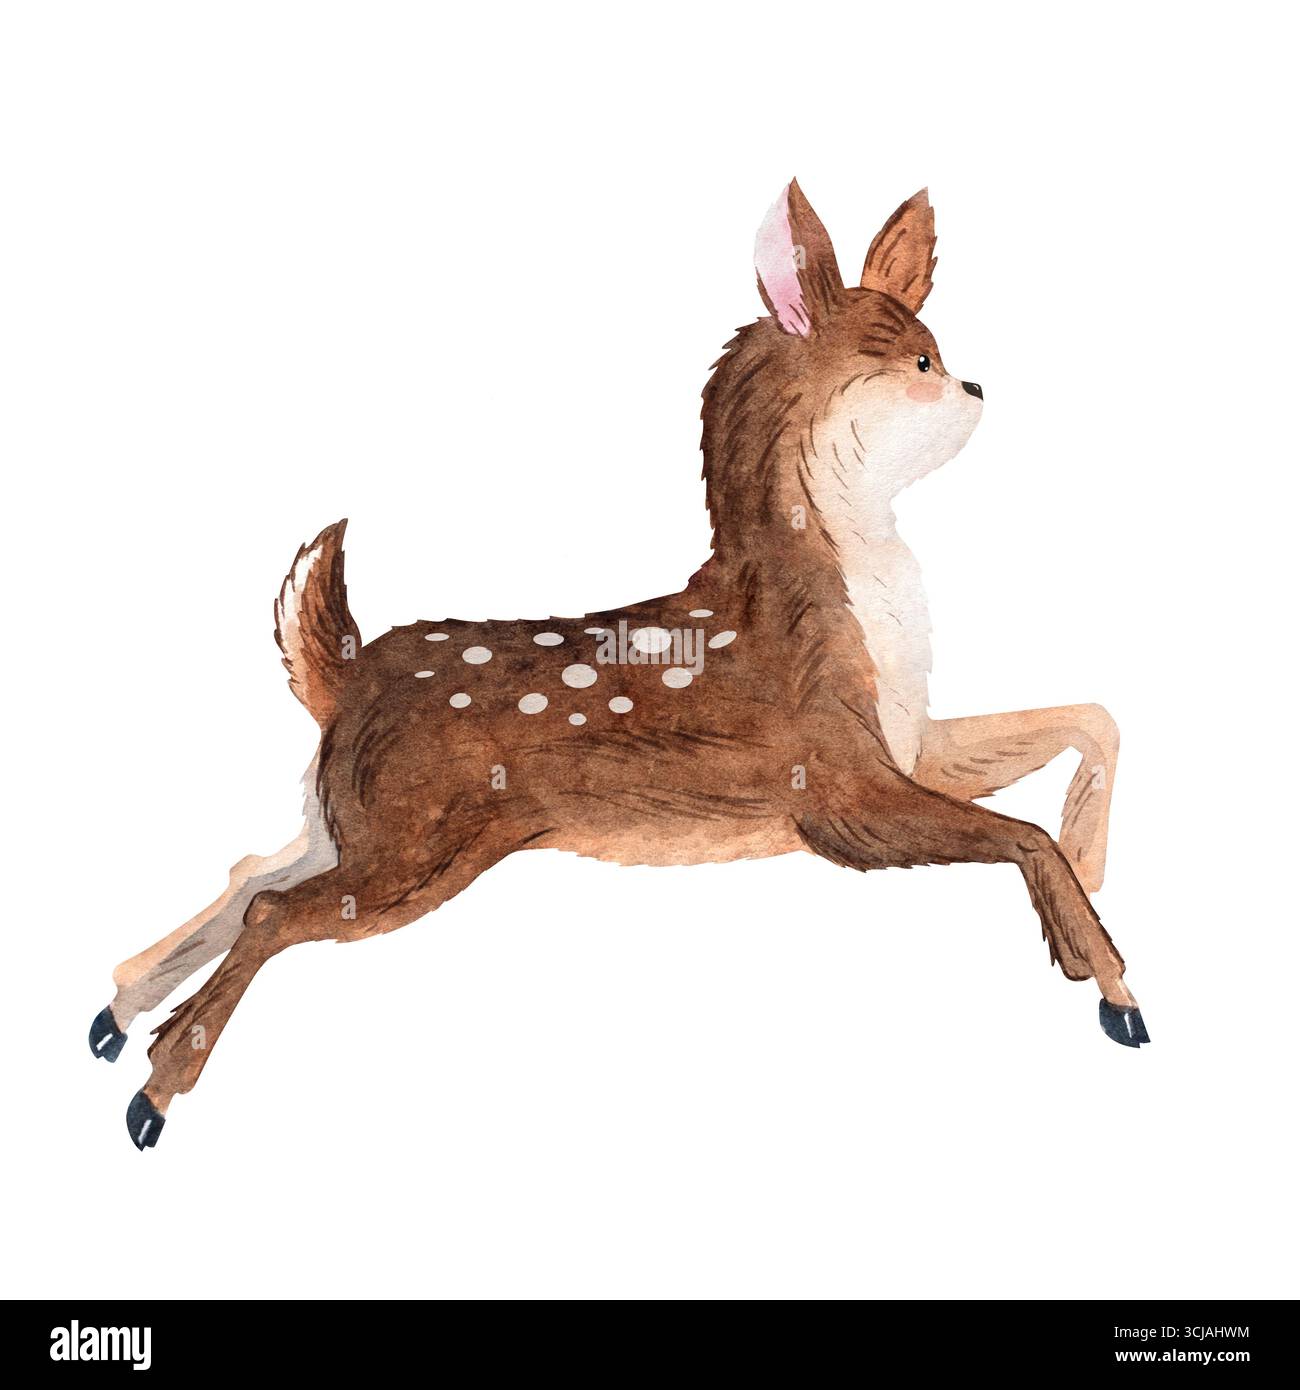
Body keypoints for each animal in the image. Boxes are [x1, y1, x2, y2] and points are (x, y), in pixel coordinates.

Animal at [91, 181, 1147, 1150]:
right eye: (921, 360)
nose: (978, 389)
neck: (855, 610)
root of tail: (341, 680)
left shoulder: (907, 743)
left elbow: (1090, 718)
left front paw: (1095, 857)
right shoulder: (834, 789)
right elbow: (1021, 837)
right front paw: (1113, 986)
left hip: (347, 819)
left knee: (247, 872)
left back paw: (114, 1018)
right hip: (417, 844)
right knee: (271, 908)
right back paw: (151, 1099)